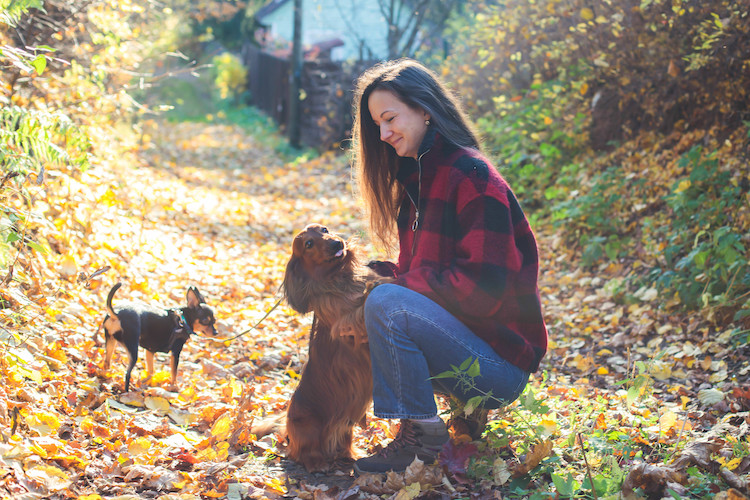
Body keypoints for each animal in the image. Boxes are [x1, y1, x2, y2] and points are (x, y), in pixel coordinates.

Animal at [254, 225, 394, 470]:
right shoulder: (347, 324)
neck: (339, 278)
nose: (337, 243)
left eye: (324, 229)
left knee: (343, 443)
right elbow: (364, 304)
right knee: (303, 454)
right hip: (310, 426)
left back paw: (351, 454)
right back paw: (317, 463)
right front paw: (376, 286)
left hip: (346, 424)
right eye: (308, 244)